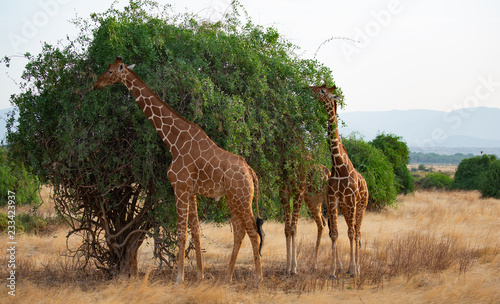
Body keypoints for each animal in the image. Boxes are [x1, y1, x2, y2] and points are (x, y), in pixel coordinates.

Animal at [94, 57, 266, 288]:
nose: (97, 84)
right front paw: (200, 276)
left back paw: (258, 279)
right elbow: (196, 233)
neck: (173, 141)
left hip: (241, 197)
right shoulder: (191, 192)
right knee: (240, 232)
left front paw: (178, 279)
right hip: (233, 199)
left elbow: (181, 234)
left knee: (252, 232)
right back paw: (227, 277)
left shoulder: (180, 188)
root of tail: (250, 171)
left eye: (111, 71)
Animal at [310, 83, 370, 278]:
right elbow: (335, 233)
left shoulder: (351, 201)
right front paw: (332, 271)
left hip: (361, 205)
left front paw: (352, 269)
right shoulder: (334, 201)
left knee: (357, 232)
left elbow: (351, 233)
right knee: (352, 231)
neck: (338, 165)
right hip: (346, 207)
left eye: (323, 90)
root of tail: (366, 184)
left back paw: (357, 268)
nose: (309, 89)